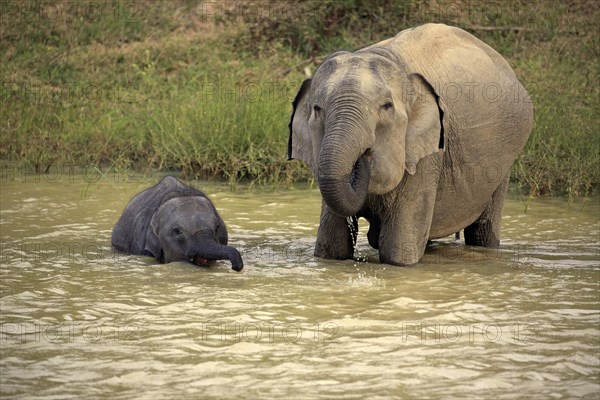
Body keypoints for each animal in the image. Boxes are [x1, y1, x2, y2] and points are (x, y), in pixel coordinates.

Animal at [288, 22, 532, 266]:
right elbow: (332, 247)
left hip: (505, 159)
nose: (365, 155)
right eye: (317, 109)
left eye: (386, 106)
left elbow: (397, 253)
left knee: (482, 231)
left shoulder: (430, 152)